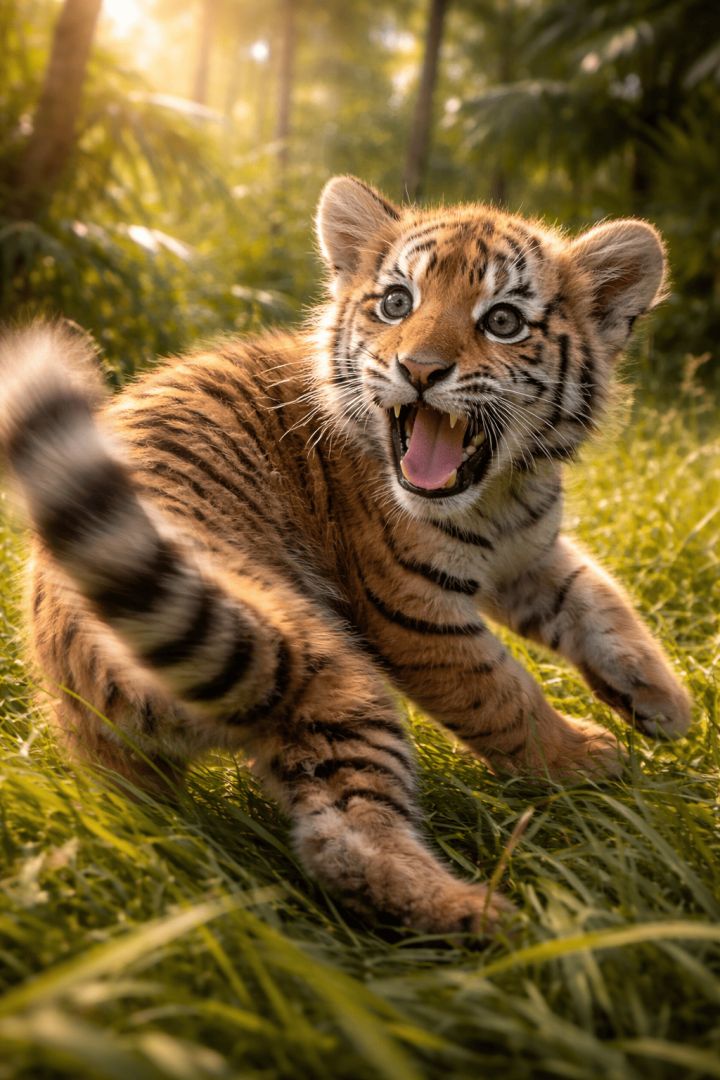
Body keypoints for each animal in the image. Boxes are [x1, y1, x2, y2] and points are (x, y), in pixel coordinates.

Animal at [0, 176, 691, 934]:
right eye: (396, 303)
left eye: (504, 320)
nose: (419, 370)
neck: (502, 489)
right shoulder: (413, 612)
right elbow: (504, 693)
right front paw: (578, 759)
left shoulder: (526, 552)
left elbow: (598, 599)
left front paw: (664, 700)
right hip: (336, 676)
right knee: (352, 843)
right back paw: (488, 917)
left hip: (124, 754)